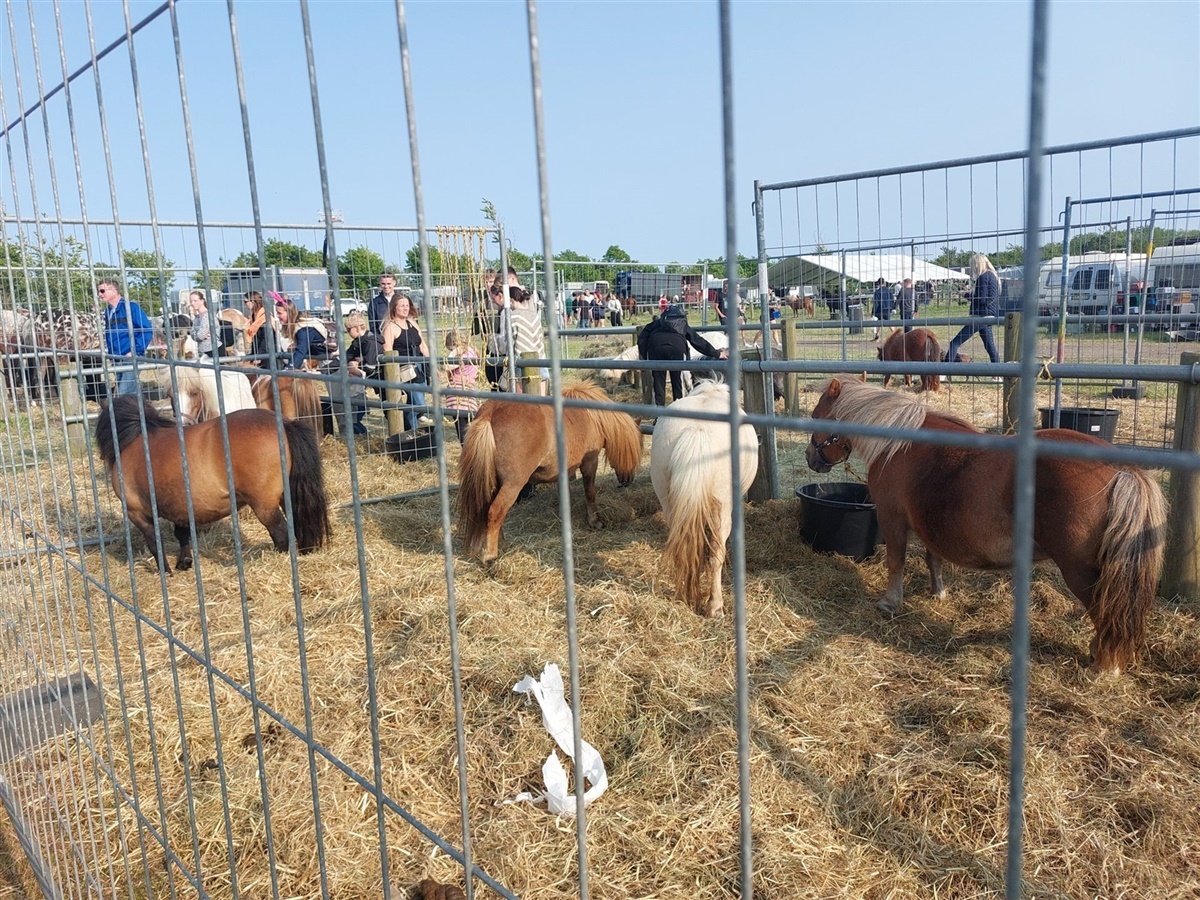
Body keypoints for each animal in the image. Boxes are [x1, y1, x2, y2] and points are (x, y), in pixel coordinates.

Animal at [96, 395, 331, 572]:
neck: (132, 442)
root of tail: (284, 423)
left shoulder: (136, 512)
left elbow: (154, 542)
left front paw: (166, 570)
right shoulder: (182, 508)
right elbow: (183, 535)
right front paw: (184, 562)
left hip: (264, 505)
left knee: (280, 534)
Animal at [457, 381, 643, 564]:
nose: (627, 480)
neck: (593, 417)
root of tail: (490, 413)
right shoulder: (589, 463)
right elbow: (590, 493)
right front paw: (595, 522)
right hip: (512, 484)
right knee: (495, 511)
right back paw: (490, 555)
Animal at [650, 381, 758, 618]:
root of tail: (697, 430)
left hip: (670, 505)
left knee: (682, 548)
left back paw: (685, 595)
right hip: (721, 511)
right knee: (716, 555)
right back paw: (715, 606)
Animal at [805, 376, 1167, 674]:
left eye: (817, 415)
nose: (811, 458)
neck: (898, 442)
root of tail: (1122, 469)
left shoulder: (892, 517)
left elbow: (896, 561)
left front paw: (890, 602)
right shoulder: (928, 524)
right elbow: (933, 559)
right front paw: (939, 592)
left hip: (1082, 572)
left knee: (1106, 613)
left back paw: (1105, 665)